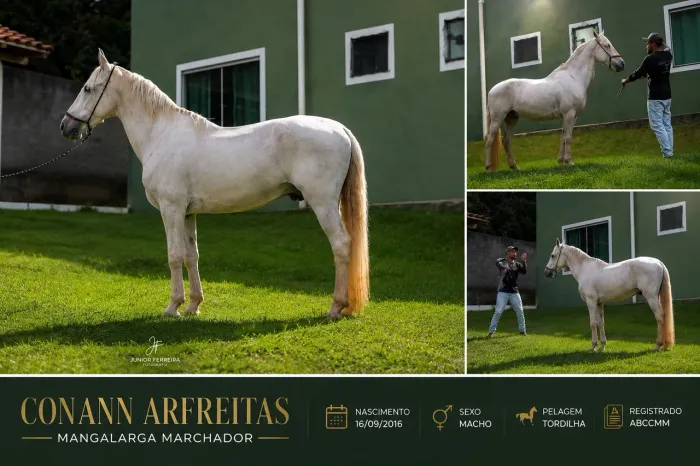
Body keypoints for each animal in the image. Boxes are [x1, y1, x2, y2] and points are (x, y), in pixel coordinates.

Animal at [60, 50, 369, 321]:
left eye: (87, 88)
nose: (66, 126)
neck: (161, 134)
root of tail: (339, 128)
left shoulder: (171, 209)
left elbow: (174, 256)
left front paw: (172, 307)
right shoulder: (187, 213)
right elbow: (191, 256)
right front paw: (193, 306)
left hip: (323, 203)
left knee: (341, 245)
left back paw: (335, 308)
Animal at [484, 31, 625, 171]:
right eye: (607, 45)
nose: (621, 63)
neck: (573, 78)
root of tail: (492, 90)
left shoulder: (572, 117)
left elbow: (563, 137)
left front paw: (561, 162)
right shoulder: (569, 114)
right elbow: (568, 138)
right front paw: (570, 162)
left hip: (511, 118)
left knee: (507, 140)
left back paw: (514, 167)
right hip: (498, 118)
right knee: (489, 139)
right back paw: (489, 168)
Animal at [543, 239, 675, 352]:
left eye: (552, 255)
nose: (547, 272)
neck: (585, 269)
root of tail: (658, 262)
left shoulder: (591, 302)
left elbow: (593, 323)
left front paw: (593, 346)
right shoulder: (599, 303)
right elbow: (601, 323)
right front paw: (602, 346)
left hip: (651, 297)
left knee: (660, 317)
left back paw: (657, 345)